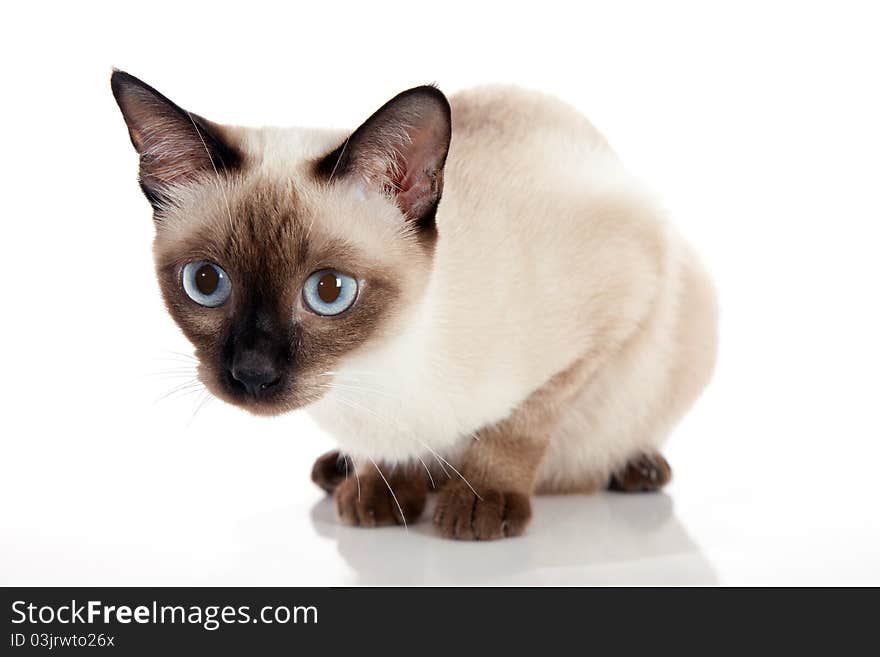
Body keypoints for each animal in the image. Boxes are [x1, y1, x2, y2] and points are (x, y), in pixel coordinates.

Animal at [111, 70, 716, 540]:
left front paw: (480, 502)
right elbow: (386, 458)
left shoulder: (617, 304)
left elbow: (520, 426)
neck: (369, 376)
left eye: (328, 292)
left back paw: (636, 469)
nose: (252, 373)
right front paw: (379, 489)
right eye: (206, 282)